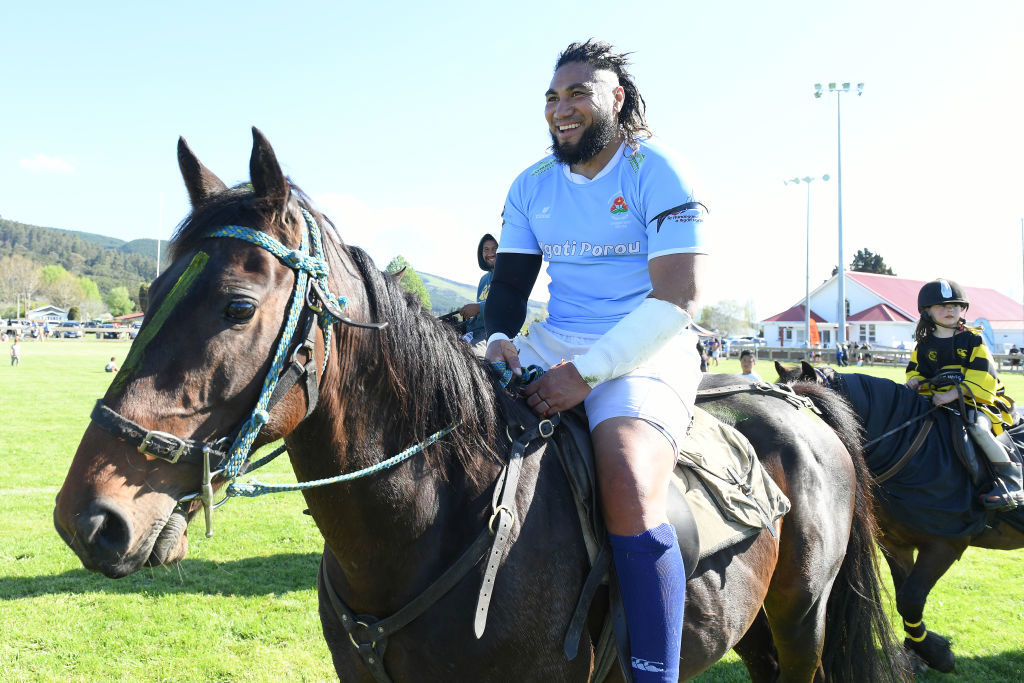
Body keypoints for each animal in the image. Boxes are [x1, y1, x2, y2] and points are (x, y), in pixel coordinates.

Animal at [54, 129, 905, 683]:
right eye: (149, 295)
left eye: (236, 305)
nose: (88, 518)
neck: (432, 522)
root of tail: (796, 402)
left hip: (800, 624)